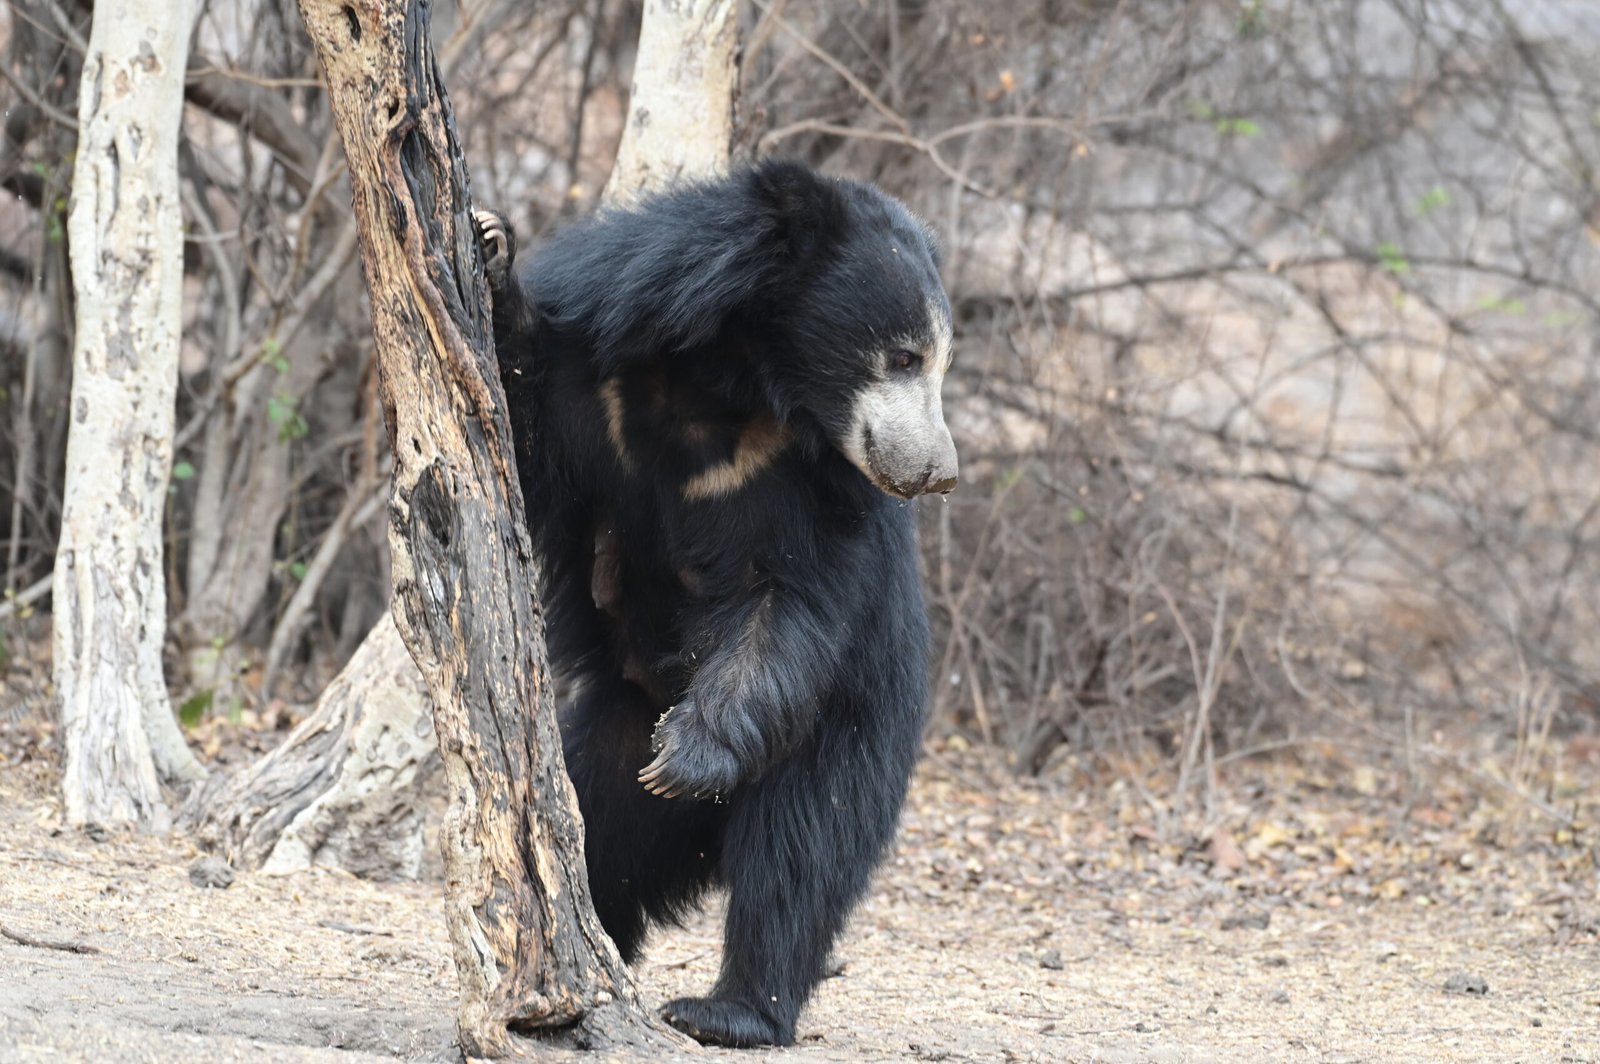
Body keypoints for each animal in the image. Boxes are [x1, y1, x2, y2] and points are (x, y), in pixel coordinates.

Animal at [471, 159, 957, 1048]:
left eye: (936, 362)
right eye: (906, 357)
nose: (939, 471)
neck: (732, 384)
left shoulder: (810, 486)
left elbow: (787, 603)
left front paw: (690, 759)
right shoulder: (603, 383)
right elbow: (523, 430)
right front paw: (489, 249)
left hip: (850, 727)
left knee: (799, 855)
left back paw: (727, 1010)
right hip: (615, 729)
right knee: (600, 828)